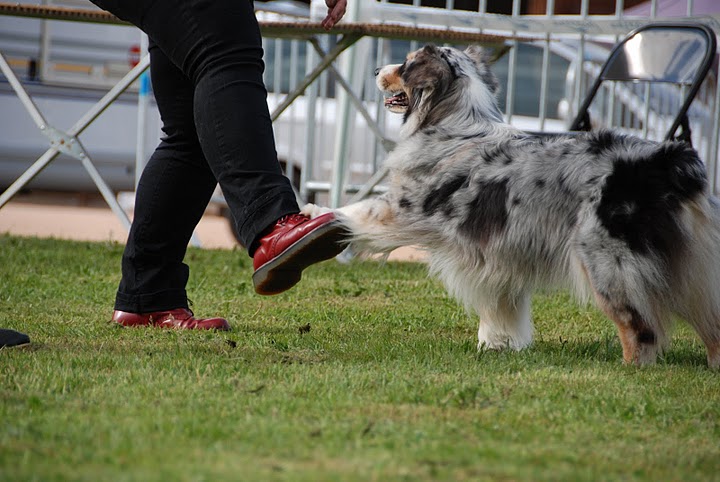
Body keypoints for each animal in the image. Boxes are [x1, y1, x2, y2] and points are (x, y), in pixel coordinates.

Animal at [302, 45, 720, 370]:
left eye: (404, 66)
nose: (376, 70)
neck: (453, 121)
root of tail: (670, 162)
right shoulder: (500, 252)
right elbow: (502, 307)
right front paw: (497, 346)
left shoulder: (403, 209)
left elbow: (356, 210)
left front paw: (314, 212)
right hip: (693, 268)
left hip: (607, 262)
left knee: (641, 328)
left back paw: (630, 370)